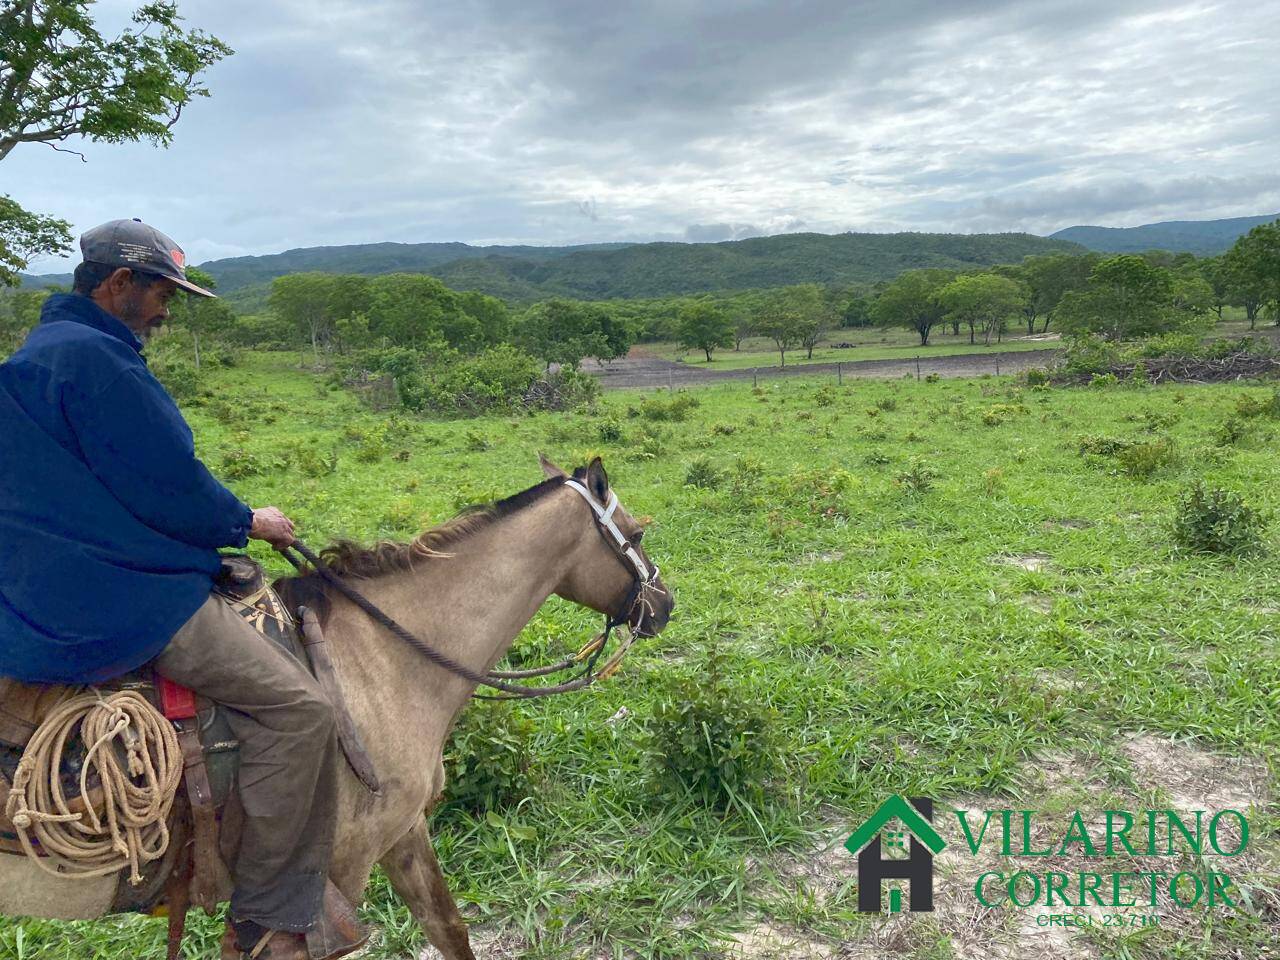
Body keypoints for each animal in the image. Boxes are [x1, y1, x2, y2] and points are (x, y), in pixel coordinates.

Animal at [0, 458, 675, 960]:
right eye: (638, 534)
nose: (664, 604)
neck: (382, 656)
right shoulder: (336, 875)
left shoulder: (402, 831)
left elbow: (449, 929)